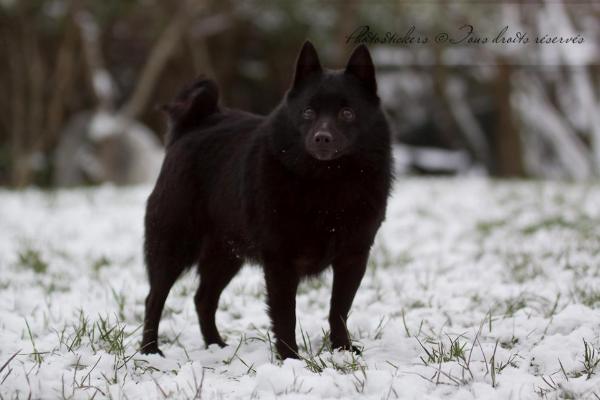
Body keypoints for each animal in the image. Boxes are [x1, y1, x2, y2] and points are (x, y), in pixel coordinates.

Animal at [141, 40, 394, 360]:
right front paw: (290, 358)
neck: (327, 182)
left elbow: (339, 309)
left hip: (225, 253)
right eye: (308, 112)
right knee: (154, 298)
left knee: (203, 299)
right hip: (173, 244)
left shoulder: (353, 257)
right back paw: (150, 350)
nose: (322, 137)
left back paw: (216, 345)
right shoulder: (280, 260)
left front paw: (343, 350)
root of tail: (194, 124)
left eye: (347, 113)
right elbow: (286, 314)